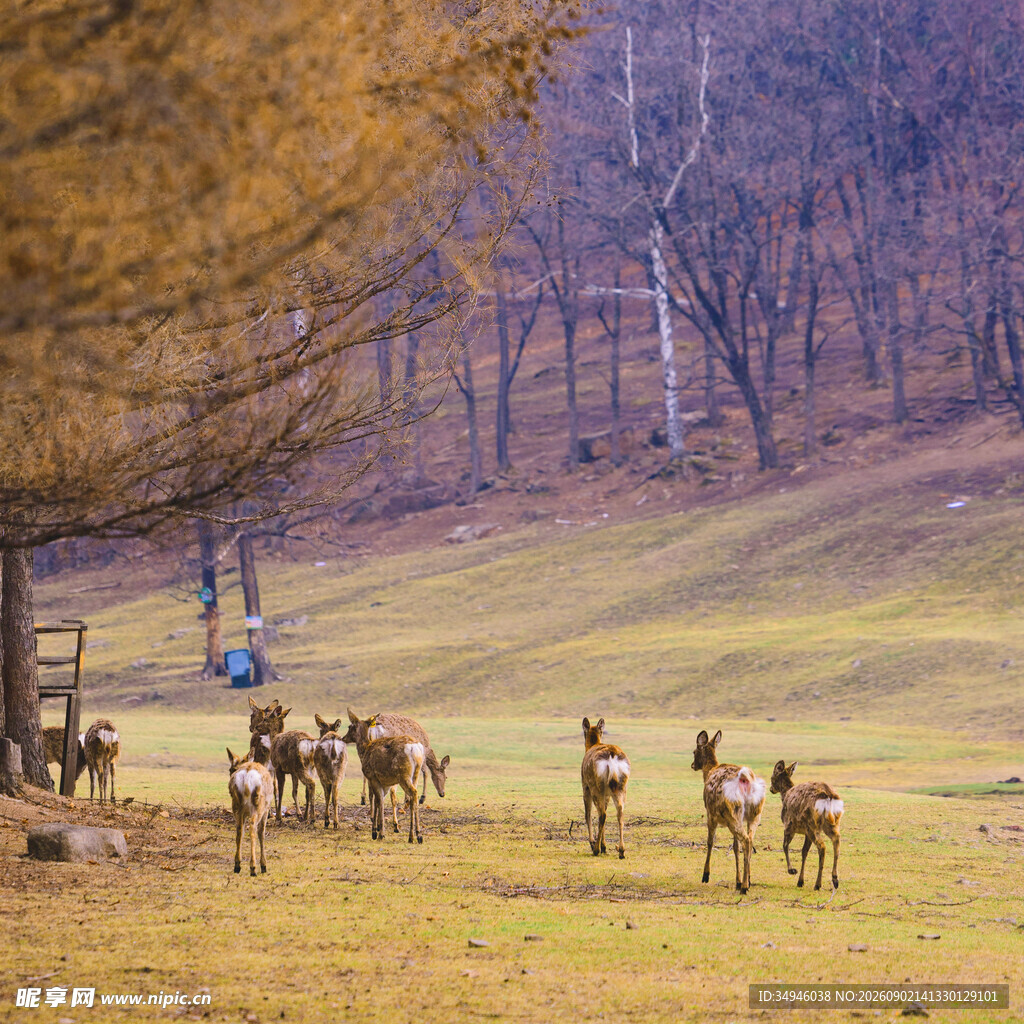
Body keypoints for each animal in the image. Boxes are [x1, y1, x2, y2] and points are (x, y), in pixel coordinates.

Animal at [343, 712, 425, 843]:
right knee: (415, 796)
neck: (365, 750)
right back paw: (418, 835)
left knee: (413, 793)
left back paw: (411, 836)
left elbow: (378, 800)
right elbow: (379, 800)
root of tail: (415, 748)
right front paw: (376, 830)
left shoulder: (373, 777)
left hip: (403, 775)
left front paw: (379, 833)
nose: (343, 738)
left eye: (350, 727)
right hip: (416, 773)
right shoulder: (385, 783)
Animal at [580, 717, 631, 859]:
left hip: (596, 785)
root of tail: (611, 756)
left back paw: (596, 849)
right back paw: (621, 850)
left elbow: (587, 814)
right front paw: (604, 846)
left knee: (602, 814)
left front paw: (594, 843)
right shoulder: (607, 793)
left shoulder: (585, 785)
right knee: (620, 812)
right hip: (621, 786)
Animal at [691, 729, 766, 894]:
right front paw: (737, 881)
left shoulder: (710, 814)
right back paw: (747, 881)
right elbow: (735, 847)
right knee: (750, 839)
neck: (710, 771)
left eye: (694, 751)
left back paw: (744, 887)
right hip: (754, 814)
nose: (692, 765)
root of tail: (746, 779)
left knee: (746, 840)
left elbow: (710, 841)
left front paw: (705, 875)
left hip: (732, 812)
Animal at [770, 760, 844, 890]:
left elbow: (785, 846)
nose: (771, 789)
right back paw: (835, 880)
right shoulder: (805, 832)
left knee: (822, 846)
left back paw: (818, 884)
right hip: (832, 823)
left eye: (771, 777)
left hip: (812, 825)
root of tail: (829, 795)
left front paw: (792, 870)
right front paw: (800, 881)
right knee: (837, 841)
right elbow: (804, 851)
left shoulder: (788, 825)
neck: (785, 794)